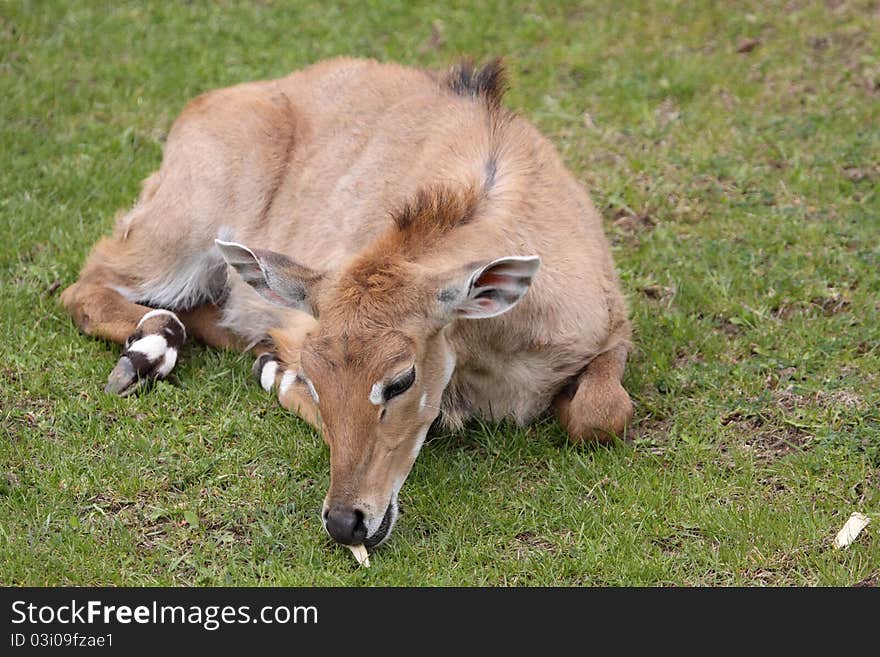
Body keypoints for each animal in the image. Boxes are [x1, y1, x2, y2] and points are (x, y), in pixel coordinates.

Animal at [65, 56, 636, 548]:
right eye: (317, 379)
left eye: (402, 379)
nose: (346, 522)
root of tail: (203, 106)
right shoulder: (298, 327)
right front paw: (276, 372)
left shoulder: (613, 331)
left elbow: (602, 413)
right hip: (180, 229)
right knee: (88, 286)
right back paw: (148, 352)